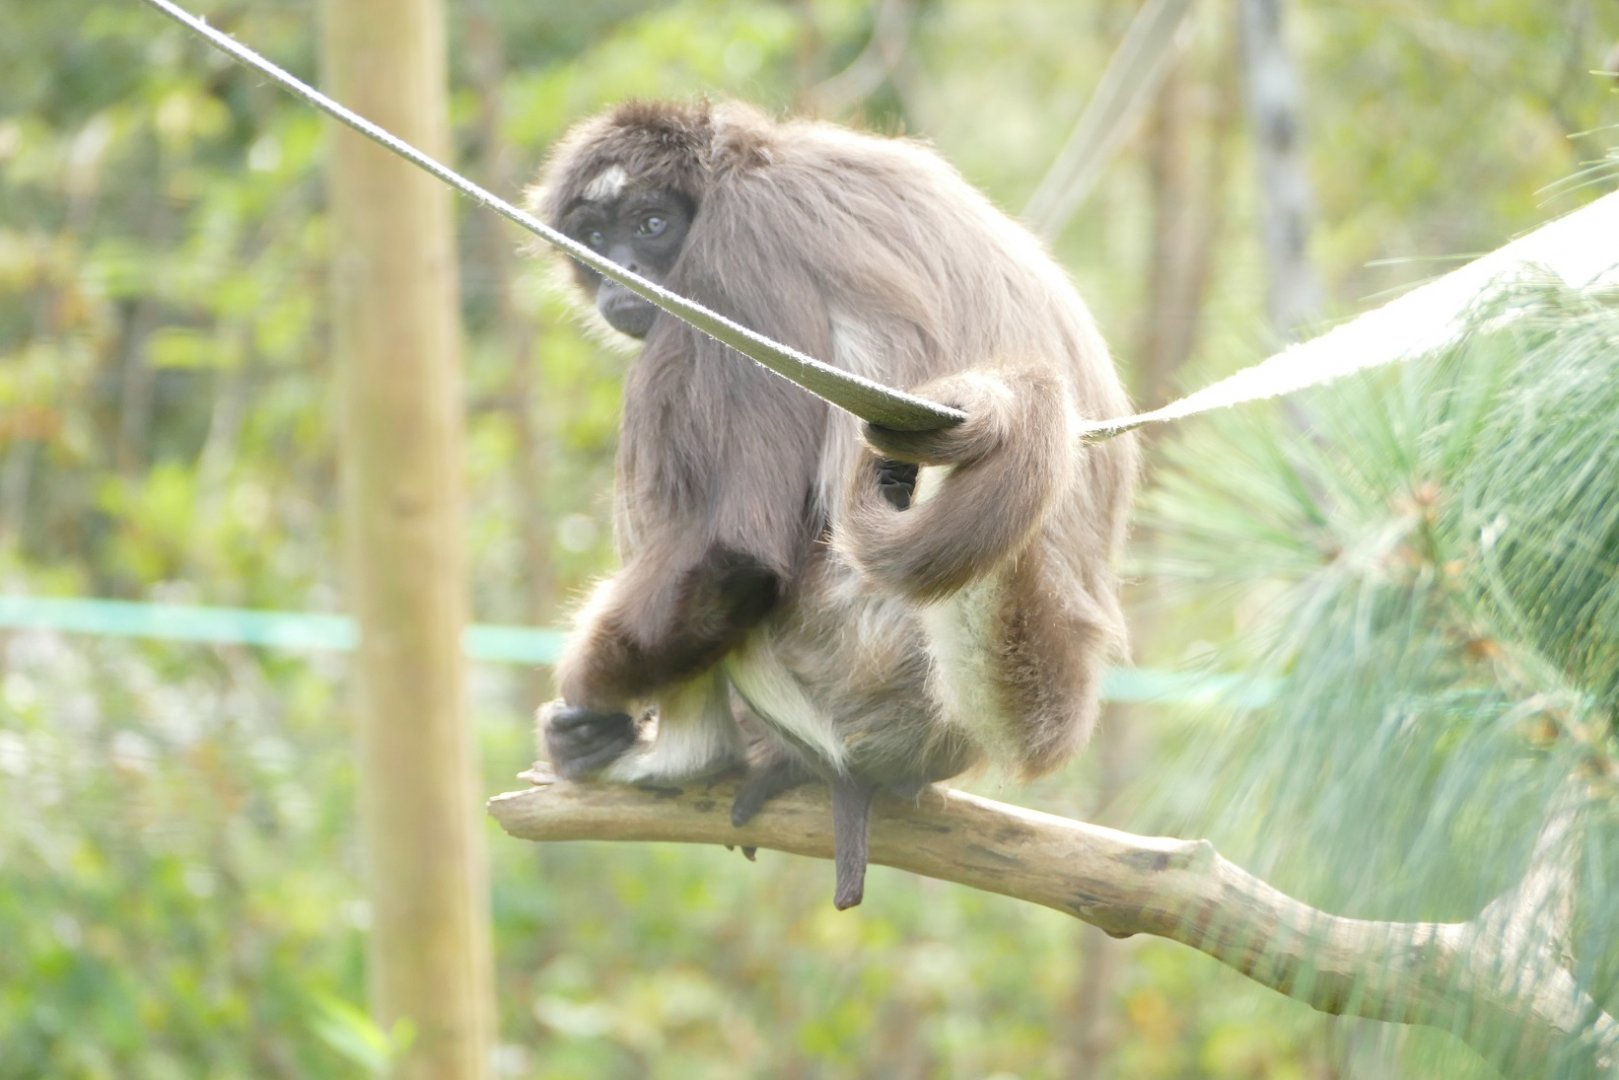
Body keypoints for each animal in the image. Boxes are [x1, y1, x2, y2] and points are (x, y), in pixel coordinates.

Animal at [528, 99, 1137, 909]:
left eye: (651, 224)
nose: (619, 271)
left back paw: (685, 758)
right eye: (595, 238)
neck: (755, 161)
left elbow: (733, 553)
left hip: (846, 656)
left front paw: (591, 702)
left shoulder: (735, 252)